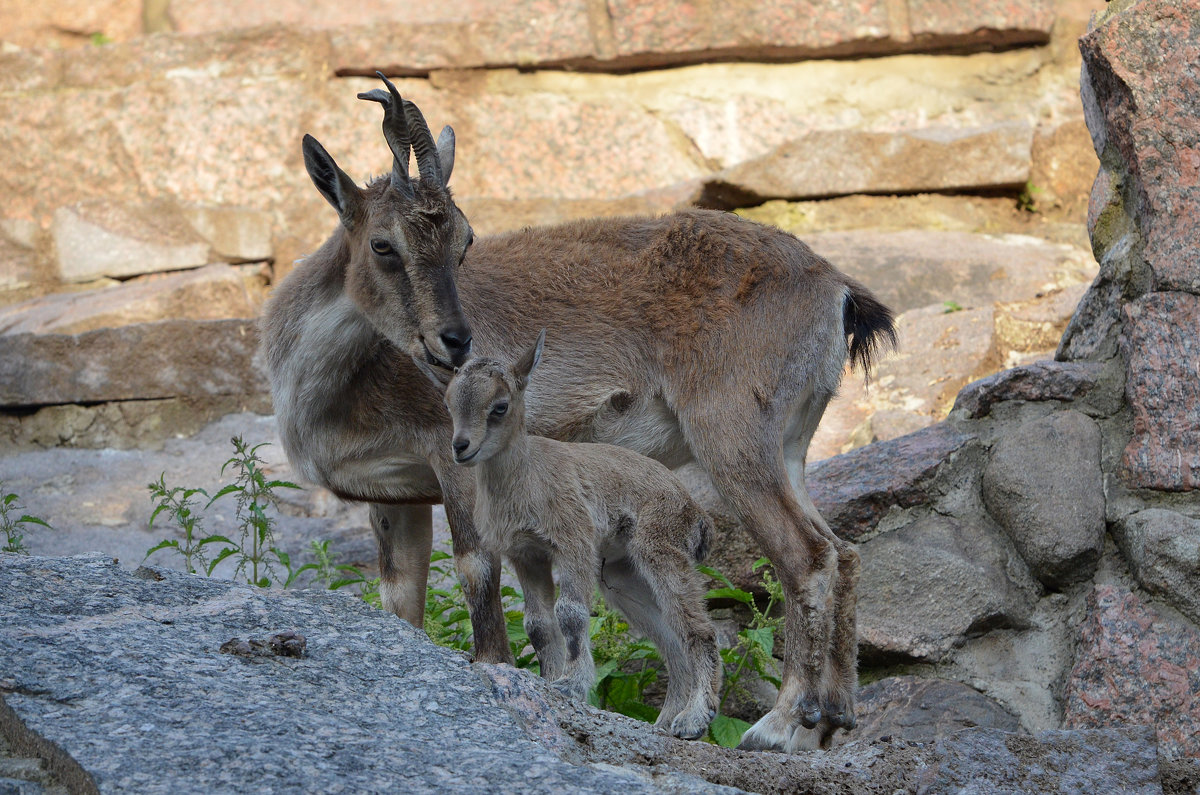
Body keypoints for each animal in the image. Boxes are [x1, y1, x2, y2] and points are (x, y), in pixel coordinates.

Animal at [265, 74, 902, 754]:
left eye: (464, 242)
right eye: (384, 245)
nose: (456, 343)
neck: (329, 383)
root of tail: (835, 289)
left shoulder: (451, 454)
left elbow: (475, 568)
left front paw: (498, 669)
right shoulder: (395, 496)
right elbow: (401, 598)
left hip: (733, 434)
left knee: (805, 557)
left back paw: (777, 725)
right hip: (791, 441)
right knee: (842, 551)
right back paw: (828, 721)